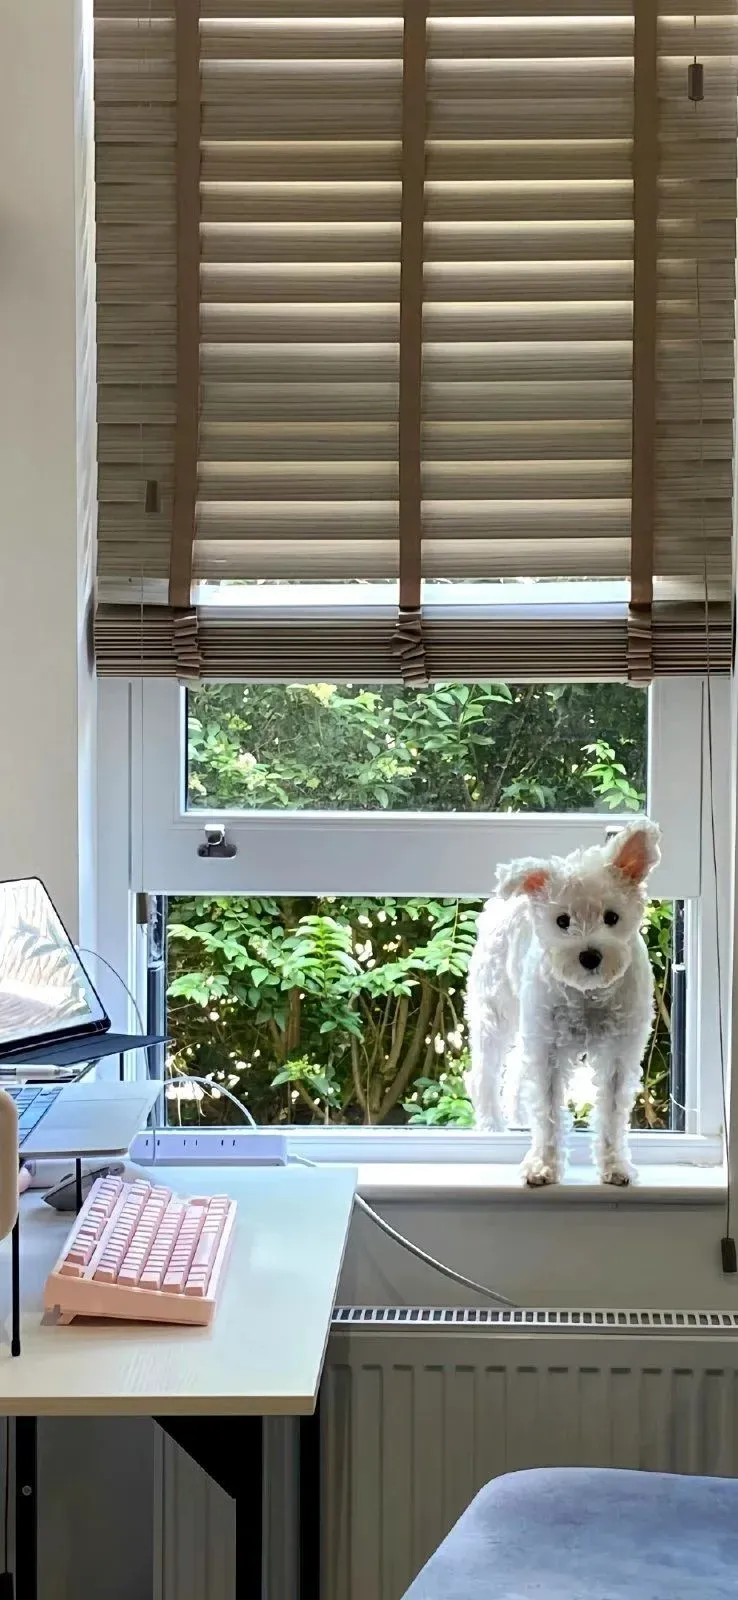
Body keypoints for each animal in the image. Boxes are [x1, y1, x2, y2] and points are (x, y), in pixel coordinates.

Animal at [466, 820, 661, 1186]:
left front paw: (615, 1166)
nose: (590, 956)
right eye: (562, 920)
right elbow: (548, 1111)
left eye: (611, 917)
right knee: (484, 1072)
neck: (588, 993)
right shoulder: (550, 1051)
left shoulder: (618, 1052)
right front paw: (542, 1165)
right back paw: (492, 1126)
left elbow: (612, 1113)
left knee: (515, 1074)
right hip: (496, 1011)